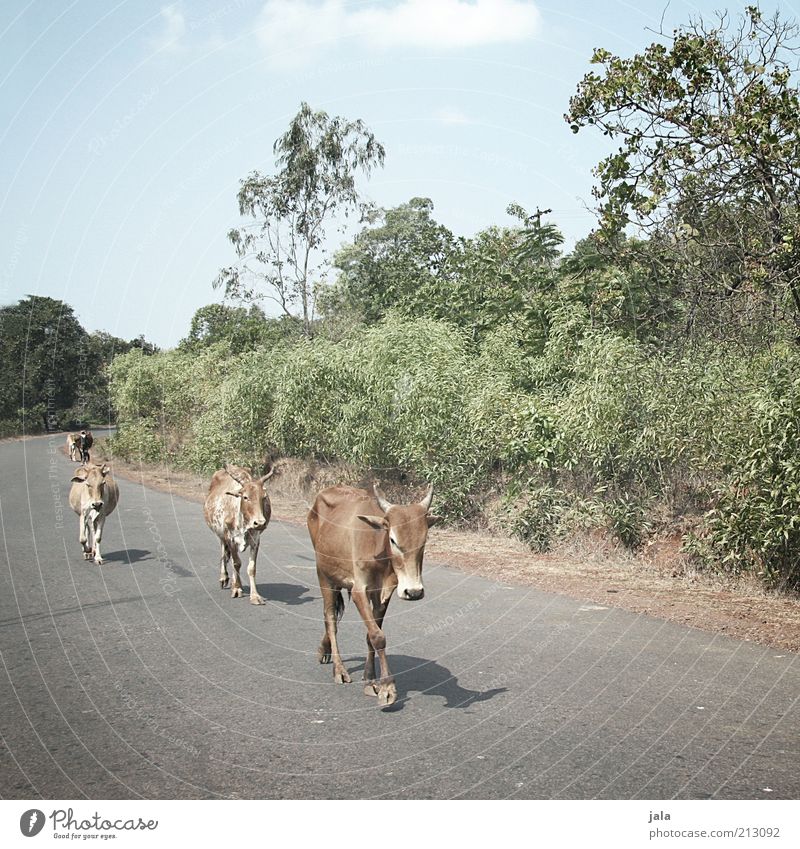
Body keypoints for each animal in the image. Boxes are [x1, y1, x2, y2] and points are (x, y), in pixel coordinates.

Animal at [203, 464, 276, 604]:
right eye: (245, 497)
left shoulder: (256, 540)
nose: (260, 523)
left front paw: (254, 596)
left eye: (264, 497)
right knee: (225, 554)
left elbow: (251, 568)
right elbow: (236, 563)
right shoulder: (230, 538)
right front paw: (236, 589)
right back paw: (224, 578)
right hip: (221, 534)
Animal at [308, 480, 444, 704]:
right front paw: (387, 687)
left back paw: (324, 648)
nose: (414, 592)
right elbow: (378, 636)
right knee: (330, 619)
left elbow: (371, 634)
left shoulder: (384, 593)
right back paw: (339, 669)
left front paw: (370, 679)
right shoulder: (359, 591)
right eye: (393, 540)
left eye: (424, 541)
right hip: (324, 575)